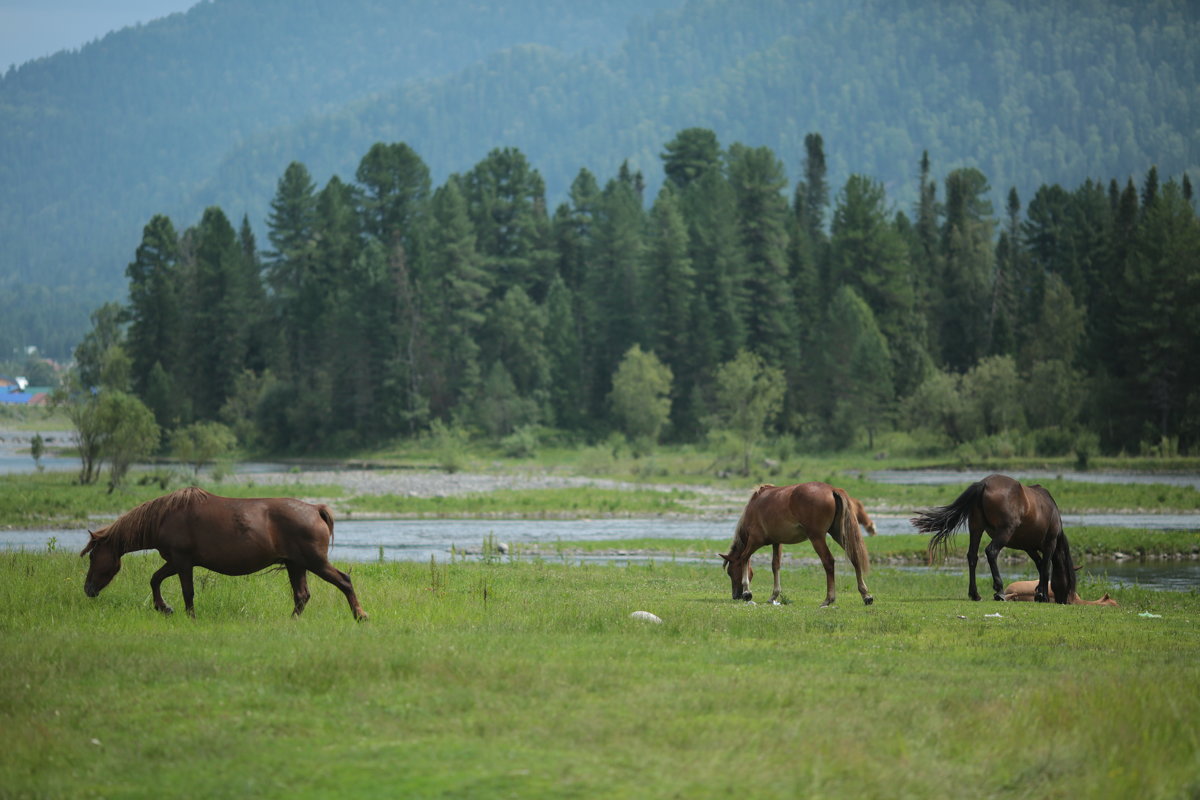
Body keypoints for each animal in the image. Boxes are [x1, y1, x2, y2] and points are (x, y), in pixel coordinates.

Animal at [81, 484, 367, 623]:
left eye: (94, 557)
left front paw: (187, 615)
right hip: (295, 564)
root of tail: (315, 509)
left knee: (344, 581)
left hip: (314, 562)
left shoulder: (182, 561)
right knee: (302, 596)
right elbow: (155, 580)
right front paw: (164, 608)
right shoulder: (175, 561)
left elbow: (186, 591)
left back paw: (360, 615)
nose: (88, 589)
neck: (163, 517)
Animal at [710, 482, 873, 606]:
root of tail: (832, 489)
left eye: (731, 572)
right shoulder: (777, 542)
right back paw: (866, 595)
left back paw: (828, 599)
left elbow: (744, 557)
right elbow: (775, 565)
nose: (735, 596)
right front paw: (773, 595)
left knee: (828, 562)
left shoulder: (755, 541)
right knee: (854, 557)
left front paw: (747, 592)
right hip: (839, 534)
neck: (754, 506)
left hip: (817, 538)